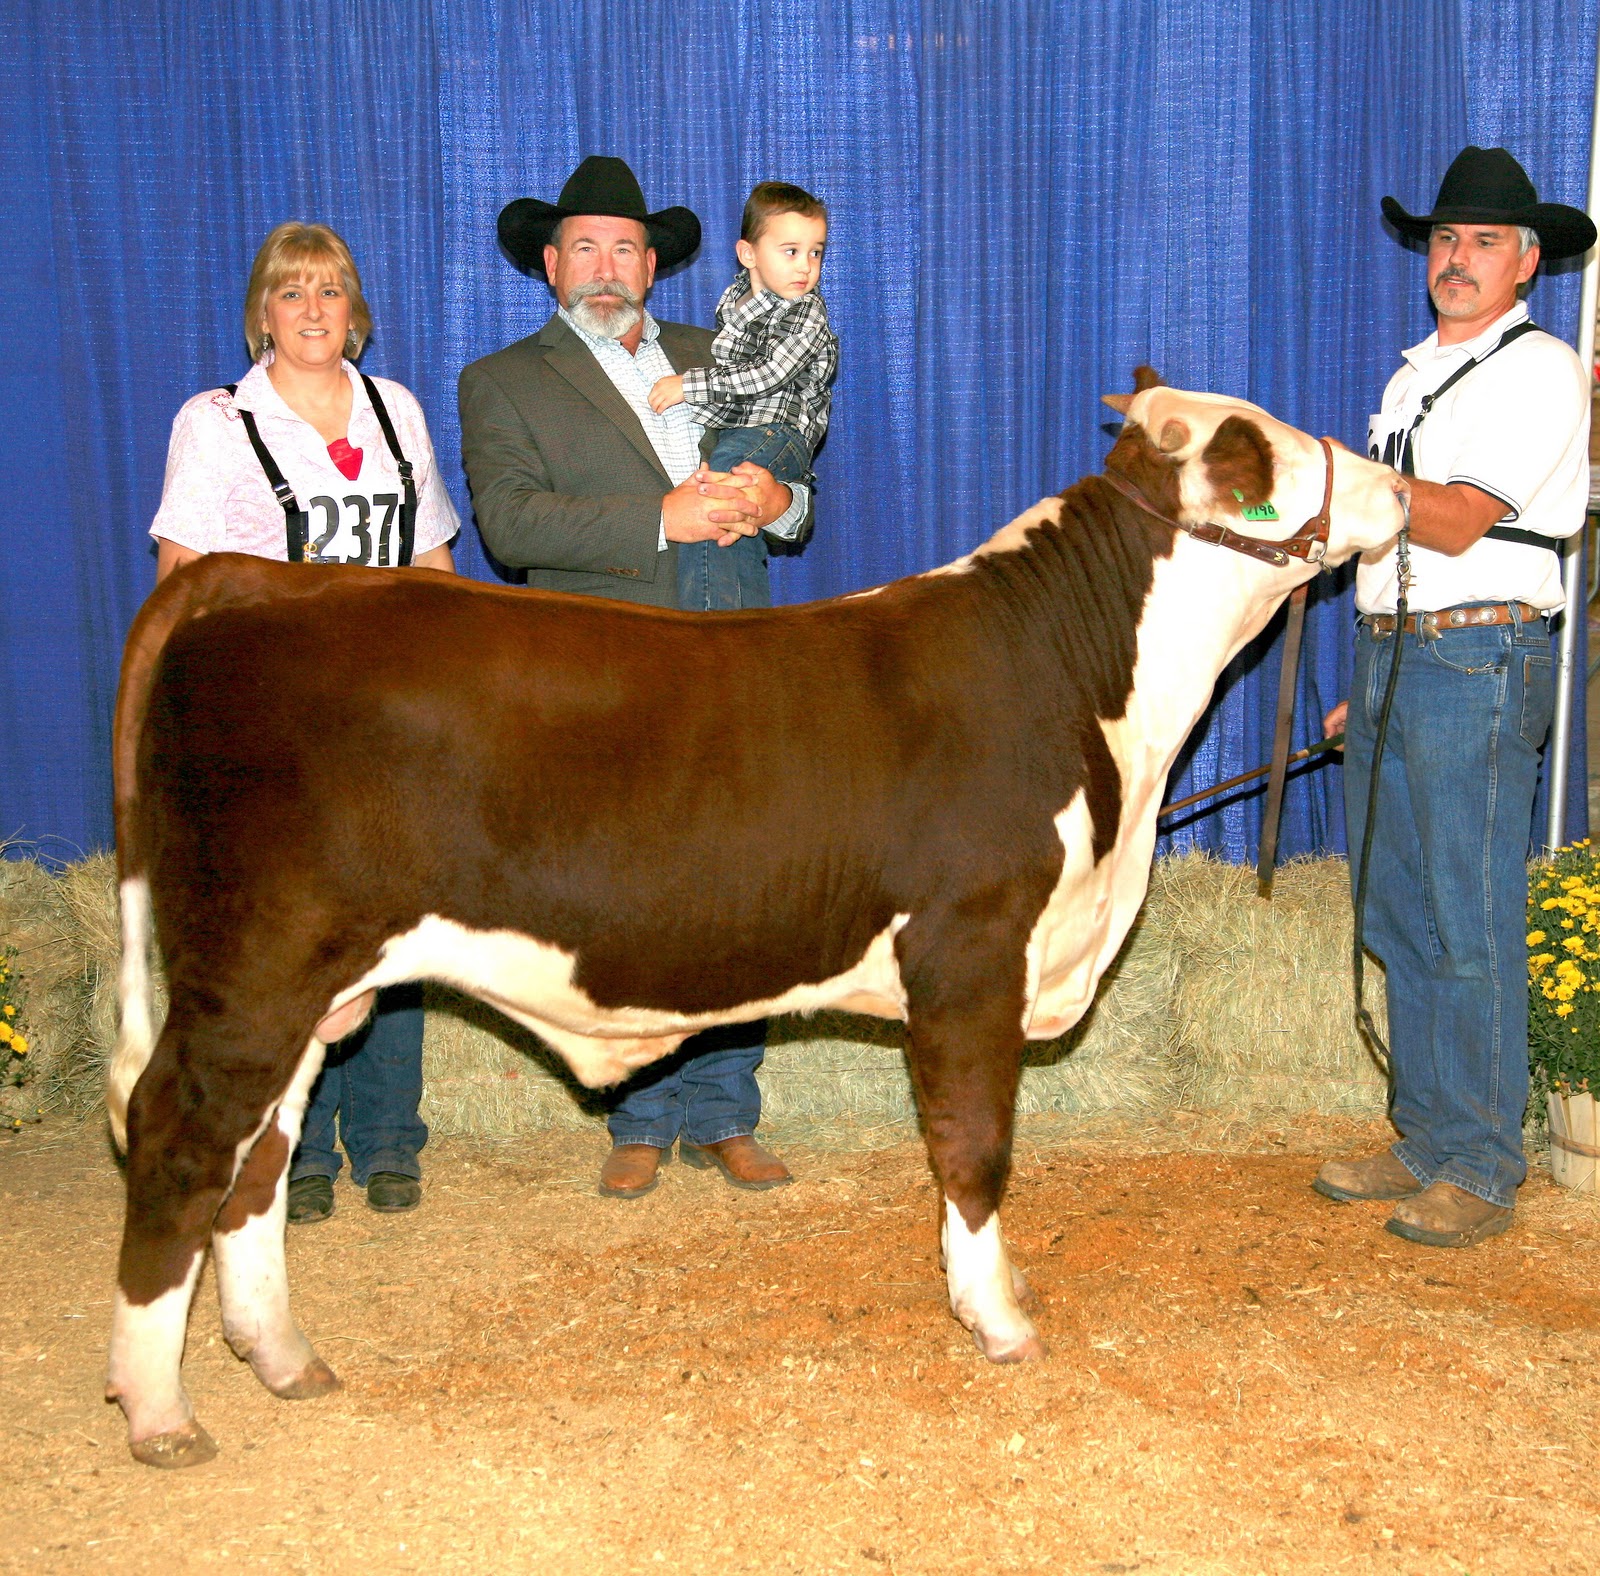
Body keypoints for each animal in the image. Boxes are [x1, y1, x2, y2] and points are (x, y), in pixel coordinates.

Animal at [105, 373, 1406, 1465]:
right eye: (1261, 451)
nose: (1398, 485)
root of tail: (265, 578)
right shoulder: (971, 951)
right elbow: (974, 1149)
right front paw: (996, 1319)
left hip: (305, 987)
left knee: (258, 1157)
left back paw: (282, 1357)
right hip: (253, 965)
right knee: (180, 1137)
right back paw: (160, 1409)